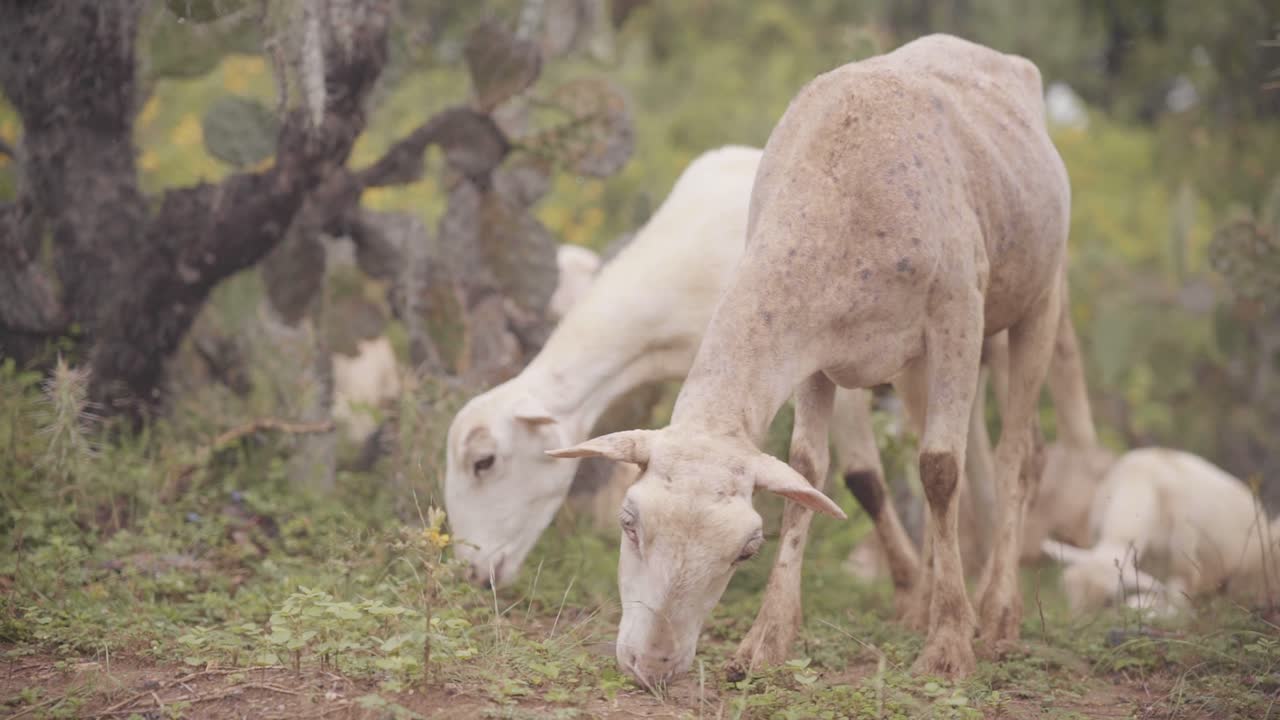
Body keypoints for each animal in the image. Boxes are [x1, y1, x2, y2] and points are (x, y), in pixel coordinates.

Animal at [549, 35, 1070, 681]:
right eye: (629, 522)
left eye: (746, 550)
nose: (654, 663)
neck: (839, 196)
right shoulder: (814, 353)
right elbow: (807, 468)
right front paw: (767, 639)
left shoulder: (957, 313)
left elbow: (940, 470)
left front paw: (949, 644)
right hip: (924, 362)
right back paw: (930, 601)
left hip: (1036, 299)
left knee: (1016, 455)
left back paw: (997, 613)